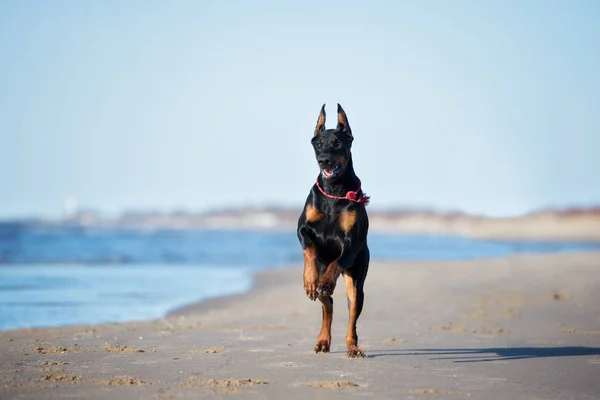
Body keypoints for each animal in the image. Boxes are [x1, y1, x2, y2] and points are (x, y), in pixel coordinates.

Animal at [296, 104, 368, 360]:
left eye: (337, 142)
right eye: (319, 143)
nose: (323, 160)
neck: (333, 191)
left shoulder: (352, 244)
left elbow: (337, 262)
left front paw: (327, 280)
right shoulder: (302, 228)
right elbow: (308, 248)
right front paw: (309, 280)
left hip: (357, 280)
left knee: (352, 316)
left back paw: (352, 347)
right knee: (328, 306)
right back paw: (322, 341)